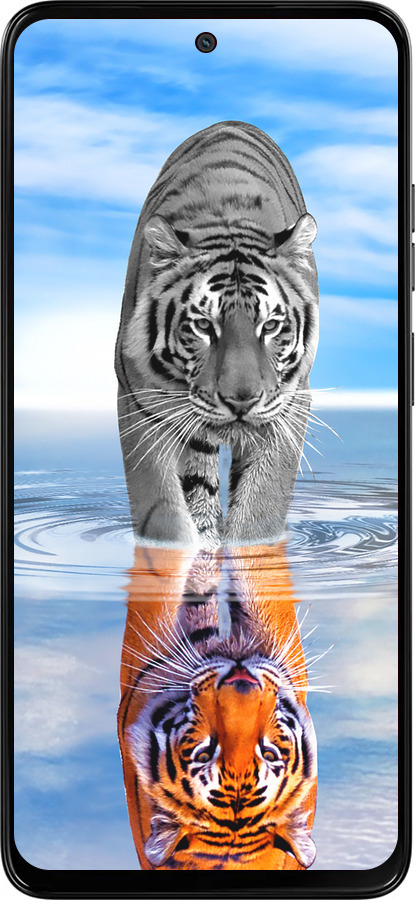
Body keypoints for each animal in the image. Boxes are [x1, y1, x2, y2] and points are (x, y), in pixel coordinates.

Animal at [115, 120, 319, 549]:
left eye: (270, 326)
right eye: (204, 325)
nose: (241, 401)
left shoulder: (290, 404)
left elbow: (261, 508)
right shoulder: (139, 400)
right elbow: (163, 512)